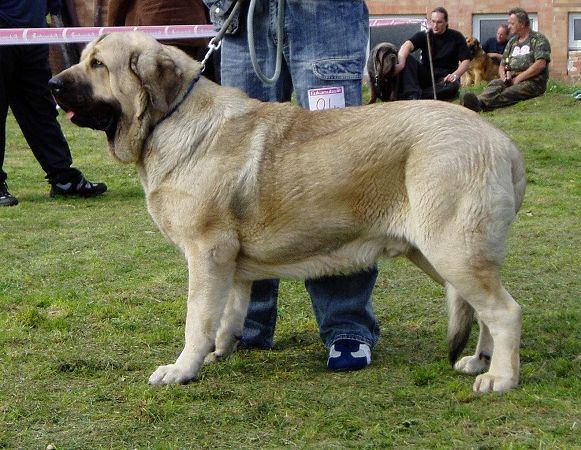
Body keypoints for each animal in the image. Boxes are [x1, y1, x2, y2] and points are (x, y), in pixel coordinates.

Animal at [48, 31, 524, 392]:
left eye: (97, 65)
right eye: (84, 60)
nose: (51, 84)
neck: (171, 119)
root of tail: (503, 143)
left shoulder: (206, 253)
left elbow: (196, 319)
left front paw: (182, 369)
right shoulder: (230, 264)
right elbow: (229, 312)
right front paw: (221, 350)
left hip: (452, 249)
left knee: (505, 311)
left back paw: (499, 378)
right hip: (438, 254)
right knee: (484, 309)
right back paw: (479, 361)